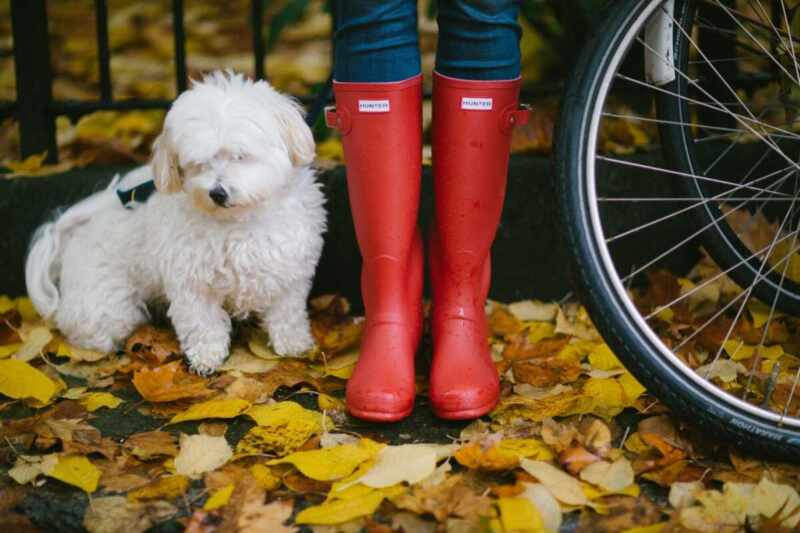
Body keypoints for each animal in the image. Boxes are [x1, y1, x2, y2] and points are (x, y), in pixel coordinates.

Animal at [25, 71, 324, 374]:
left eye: (240, 156)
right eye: (198, 164)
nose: (217, 192)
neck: (239, 221)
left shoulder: (290, 271)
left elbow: (287, 311)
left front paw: (294, 344)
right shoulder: (191, 282)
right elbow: (203, 323)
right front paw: (206, 357)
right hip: (106, 307)